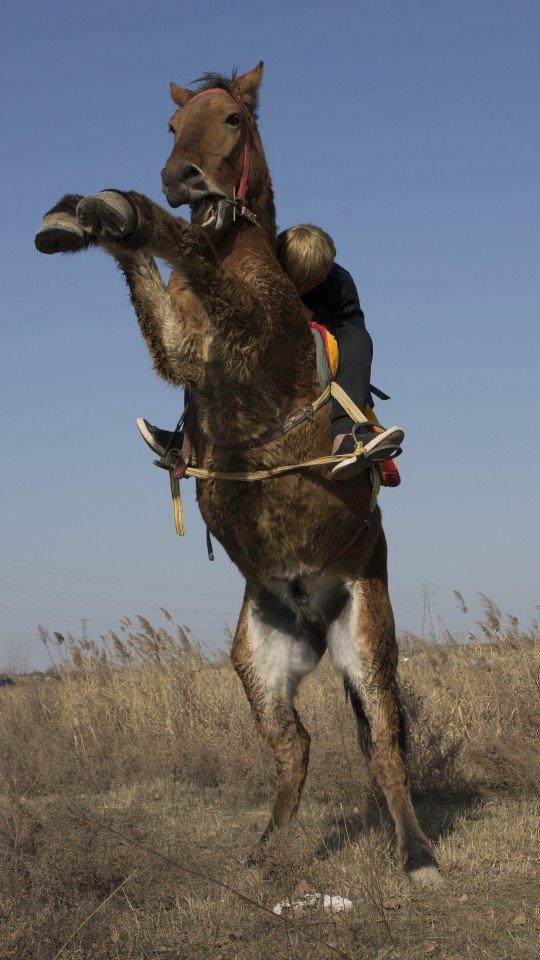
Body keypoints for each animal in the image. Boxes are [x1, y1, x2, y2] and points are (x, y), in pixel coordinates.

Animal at [32, 62, 438, 884]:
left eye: (232, 120)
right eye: (170, 126)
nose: (179, 177)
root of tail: (313, 615)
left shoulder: (254, 330)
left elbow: (184, 243)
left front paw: (123, 207)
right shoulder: (184, 344)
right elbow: (160, 291)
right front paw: (82, 215)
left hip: (368, 637)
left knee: (384, 744)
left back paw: (416, 856)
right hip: (258, 659)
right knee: (298, 747)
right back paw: (264, 852)